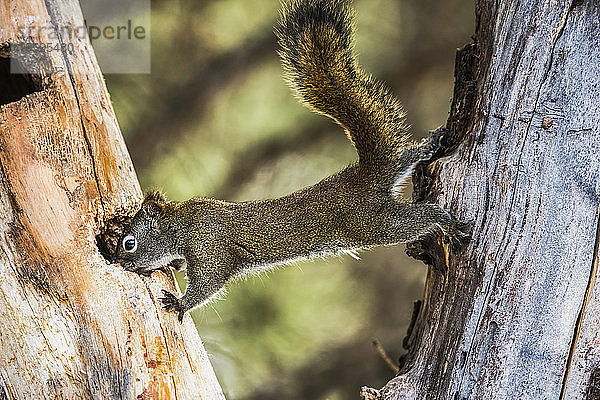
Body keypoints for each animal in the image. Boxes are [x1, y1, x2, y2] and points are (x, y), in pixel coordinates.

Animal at [111, 0, 468, 320]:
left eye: (129, 243)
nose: (118, 263)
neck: (180, 224)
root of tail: (365, 175)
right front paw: (174, 264)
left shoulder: (211, 249)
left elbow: (209, 283)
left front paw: (179, 303)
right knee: (408, 155)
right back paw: (432, 142)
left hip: (374, 223)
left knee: (420, 218)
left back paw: (449, 223)